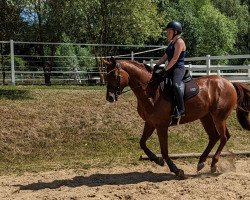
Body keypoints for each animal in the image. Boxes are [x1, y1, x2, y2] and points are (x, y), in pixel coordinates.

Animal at [103, 57, 250, 178]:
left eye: (114, 75)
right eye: (106, 76)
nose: (110, 97)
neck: (151, 91)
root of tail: (229, 83)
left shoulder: (161, 126)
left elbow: (164, 150)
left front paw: (176, 170)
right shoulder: (150, 123)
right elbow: (142, 143)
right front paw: (157, 160)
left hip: (219, 117)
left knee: (224, 137)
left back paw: (213, 163)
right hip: (206, 117)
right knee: (214, 137)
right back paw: (201, 162)